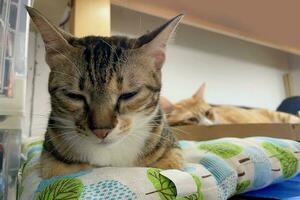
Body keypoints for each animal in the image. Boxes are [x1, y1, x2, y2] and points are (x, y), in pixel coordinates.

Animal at [26, 6, 183, 178]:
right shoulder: (50, 160)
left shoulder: (173, 150)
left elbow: (167, 166)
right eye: (74, 96)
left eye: (129, 94)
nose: (102, 131)